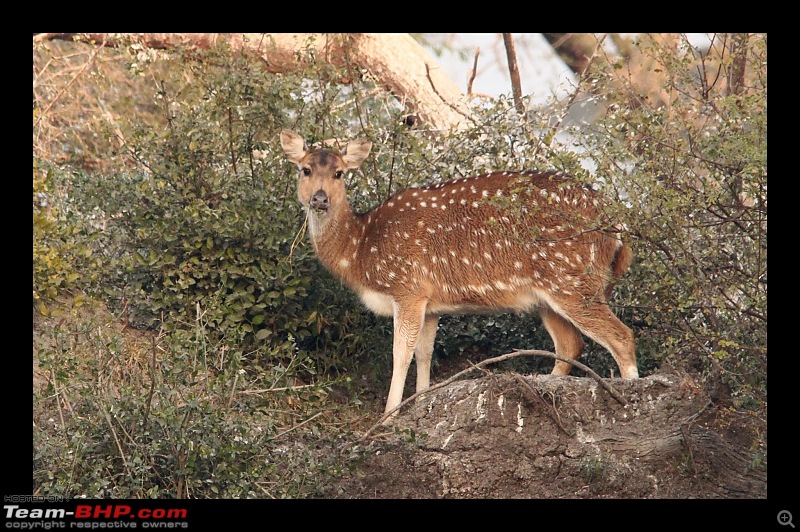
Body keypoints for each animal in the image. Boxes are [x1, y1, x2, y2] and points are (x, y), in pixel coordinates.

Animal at [282, 129, 636, 416]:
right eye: (305, 169)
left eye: (339, 173)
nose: (320, 198)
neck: (360, 252)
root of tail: (619, 225)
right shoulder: (430, 303)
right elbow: (424, 353)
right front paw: (422, 403)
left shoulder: (409, 288)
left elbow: (401, 353)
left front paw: (389, 416)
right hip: (550, 295)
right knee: (570, 344)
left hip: (573, 279)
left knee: (621, 336)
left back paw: (631, 397)